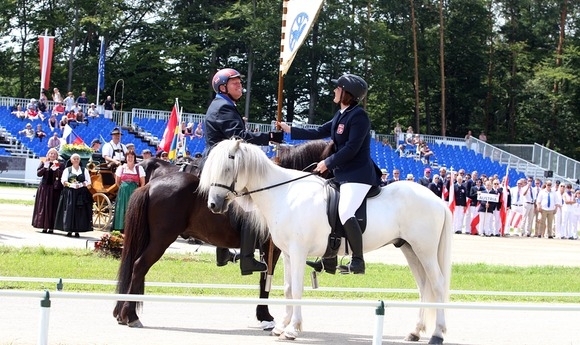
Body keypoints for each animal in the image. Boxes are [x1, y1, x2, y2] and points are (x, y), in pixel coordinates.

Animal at [114, 140, 334, 328]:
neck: (282, 189)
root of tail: (151, 184)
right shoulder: (273, 248)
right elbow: (265, 280)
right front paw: (264, 316)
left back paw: (121, 312)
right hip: (161, 239)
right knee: (139, 266)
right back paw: (131, 315)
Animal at [199, 138, 454, 342]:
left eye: (227, 167)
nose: (213, 204)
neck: (286, 194)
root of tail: (437, 200)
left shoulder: (299, 252)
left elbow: (298, 289)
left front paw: (292, 330)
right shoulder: (289, 254)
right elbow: (288, 289)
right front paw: (281, 327)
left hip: (425, 250)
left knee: (438, 285)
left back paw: (437, 334)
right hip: (410, 249)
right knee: (424, 287)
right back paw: (415, 332)